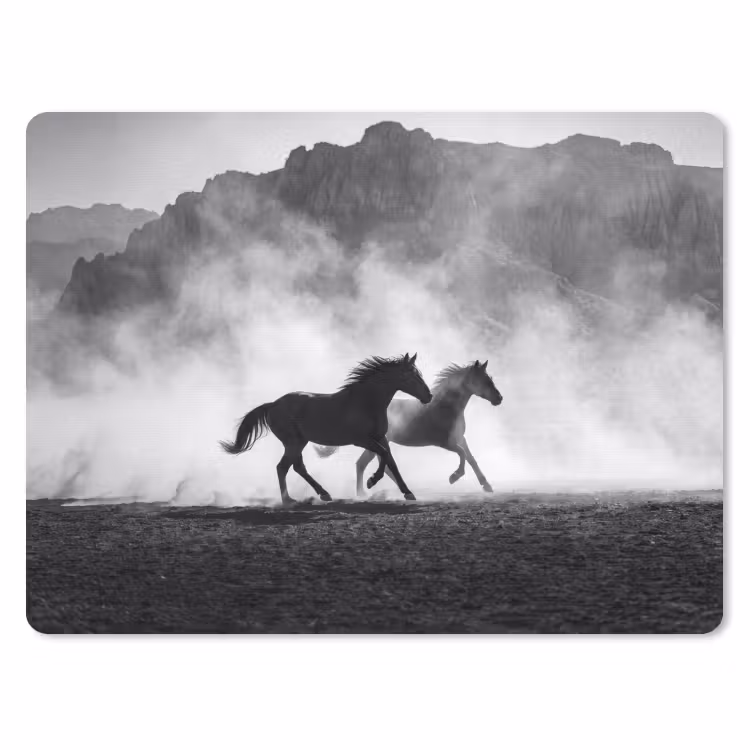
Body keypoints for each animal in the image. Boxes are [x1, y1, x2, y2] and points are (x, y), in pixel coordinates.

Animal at [220, 353, 433, 506]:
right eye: (410, 376)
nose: (428, 396)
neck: (366, 402)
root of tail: (272, 404)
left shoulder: (380, 437)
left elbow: (391, 461)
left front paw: (408, 493)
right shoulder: (361, 439)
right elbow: (384, 456)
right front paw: (372, 481)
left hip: (299, 442)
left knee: (296, 467)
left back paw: (323, 494)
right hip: (293, 442)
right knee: (283, 467)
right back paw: (289, 500)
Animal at [316, 360, 502, 495]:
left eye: (490, 379)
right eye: (484, 381)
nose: (499, 398)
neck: (445, 408)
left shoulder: (459, 438)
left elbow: (471, 459)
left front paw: (487, 486)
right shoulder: (444, 442)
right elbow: (462, 454)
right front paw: (453, 477)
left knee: (367, 464)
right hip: (375, 442)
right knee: (367, 464)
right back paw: (367, 491)